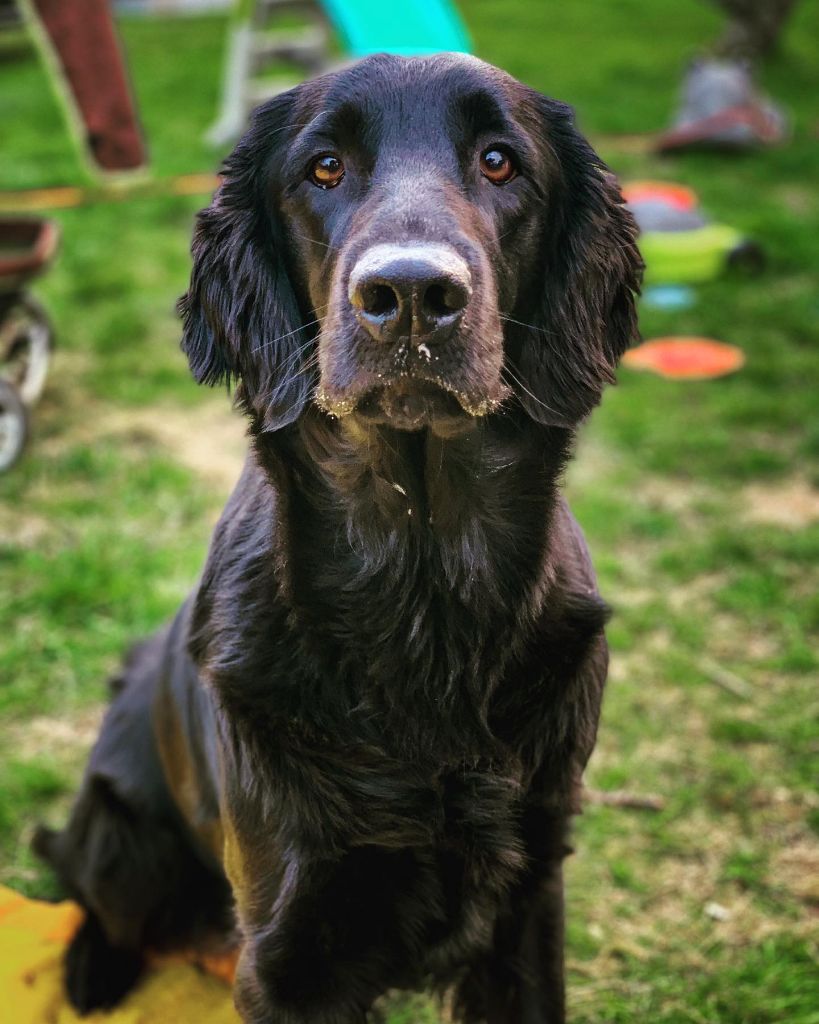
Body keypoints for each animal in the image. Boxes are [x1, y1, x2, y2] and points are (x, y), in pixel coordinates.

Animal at [36, 54, 638, 1024]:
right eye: (323, 168)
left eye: (500, 161)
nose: (411, 297)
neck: (421, 586)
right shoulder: (289, 946)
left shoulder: (528, 896)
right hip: (124, 837)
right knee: (84, 884)